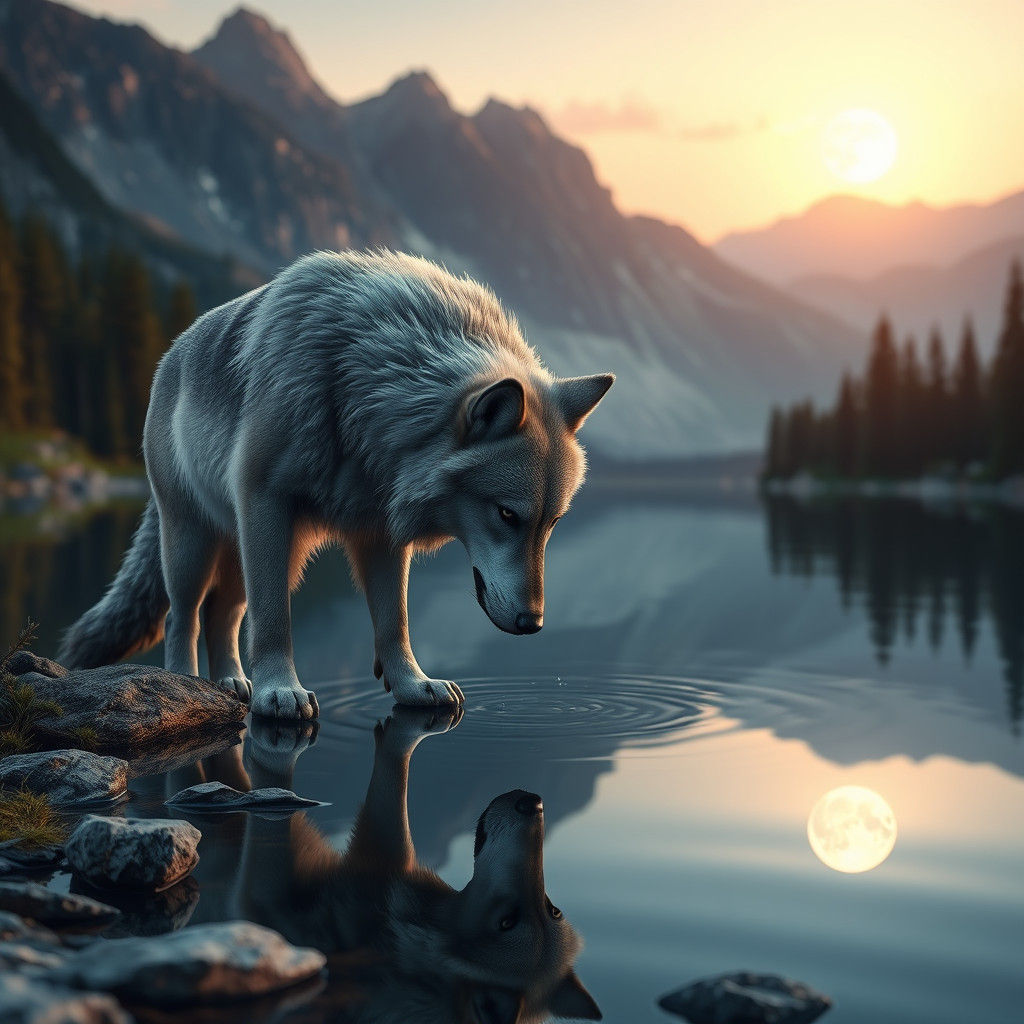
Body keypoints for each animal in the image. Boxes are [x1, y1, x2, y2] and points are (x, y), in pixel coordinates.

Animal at [58, 251, 613, 718]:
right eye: (507, 515)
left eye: (552, 523)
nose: (533, 624)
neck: (363, 387)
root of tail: (170, 354)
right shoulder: (267, 505)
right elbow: (275, 620)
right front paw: (280, 690)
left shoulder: (380, 531)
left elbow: (394, 622)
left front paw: (413, 685)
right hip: (201, 544)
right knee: (185, 616)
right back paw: (185, 683)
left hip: (257, 553)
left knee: (224, 614)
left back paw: (232, 684)